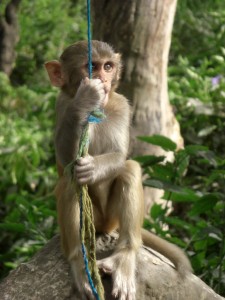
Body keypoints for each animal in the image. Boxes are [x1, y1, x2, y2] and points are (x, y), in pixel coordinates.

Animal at [44, 40, 192, 300]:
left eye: (108, 66)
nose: (103, 79)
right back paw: (79, 261)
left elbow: (120, 154)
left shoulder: (122, 104)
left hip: (112, 217)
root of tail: (105, 227)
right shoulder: (61, 104)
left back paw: (124, 256)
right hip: (93, 221)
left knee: (129, 169)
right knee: (71, 183)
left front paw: (93, 167)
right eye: (92, 66)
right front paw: (85, 99)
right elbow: (67, 158)